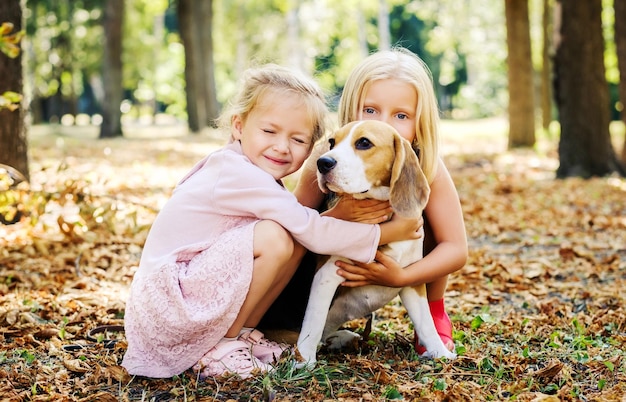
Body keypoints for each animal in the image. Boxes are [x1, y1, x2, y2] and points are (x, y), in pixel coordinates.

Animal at [294, 120, 456, 368]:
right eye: (332, 142)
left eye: (364, 143)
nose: (323, 162)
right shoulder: (326, 275)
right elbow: (313, 321)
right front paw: (304, 361)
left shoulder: (411, 278)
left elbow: (425, 321)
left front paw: (440, 352)